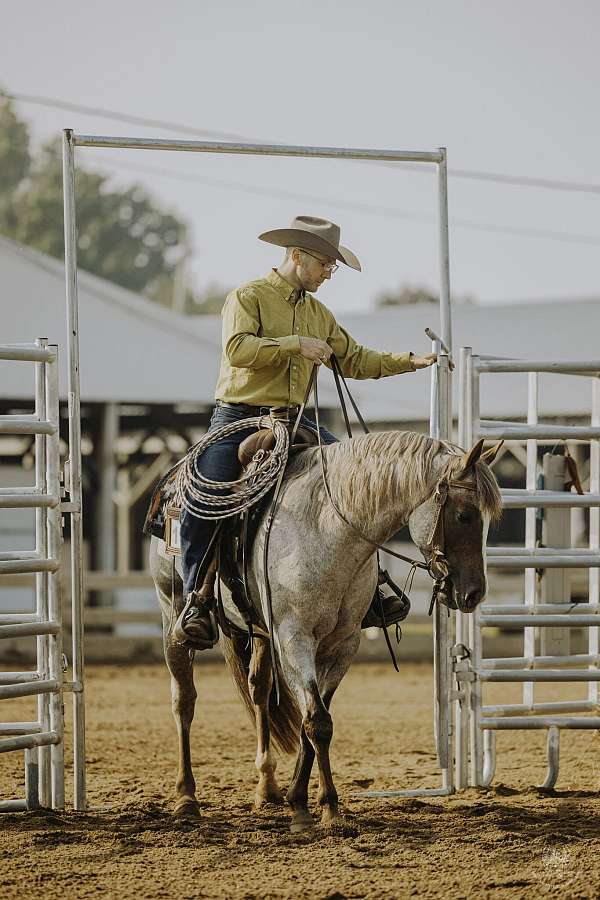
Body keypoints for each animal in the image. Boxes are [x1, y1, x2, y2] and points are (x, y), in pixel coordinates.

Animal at [149, 430, 502, 829]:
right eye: (464, 515)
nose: (473, 593)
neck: (326, 529)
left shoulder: (343, 643)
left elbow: (315, 721)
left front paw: (302, 800)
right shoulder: (294, 639)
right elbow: (317, 721)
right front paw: (324, 808)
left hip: (260, 636)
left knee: (259, 691)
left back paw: (266, 788)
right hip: (171, 617)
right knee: (184, 701)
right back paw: (186, 797)